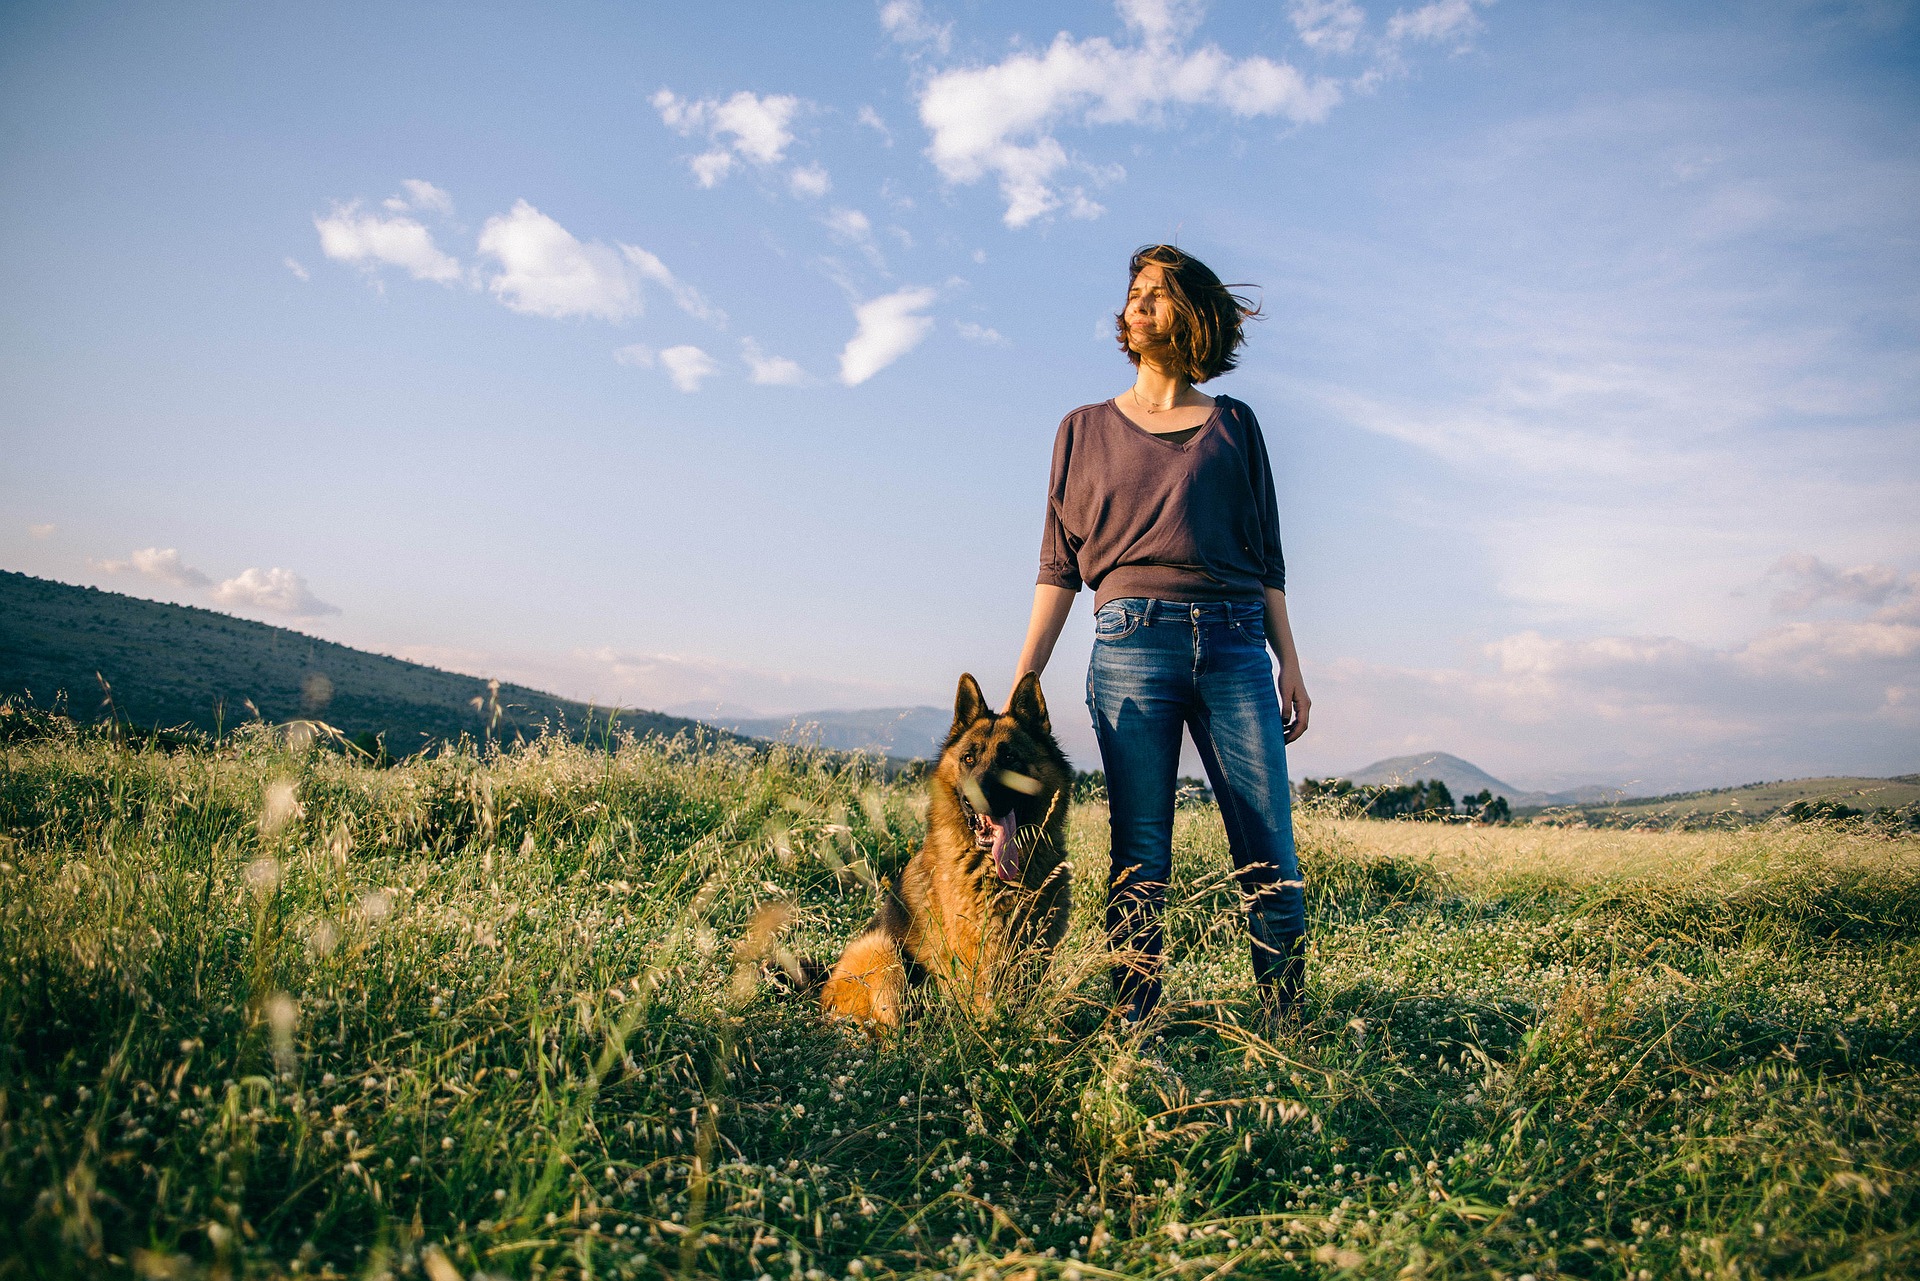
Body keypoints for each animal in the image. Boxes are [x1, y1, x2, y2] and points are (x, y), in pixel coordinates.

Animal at [814, 672, 1075, 1029]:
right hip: (882, 951)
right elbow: (987, 1008)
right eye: (968, 758)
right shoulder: (979, 955)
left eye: (1009, 757)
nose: (974, 797)